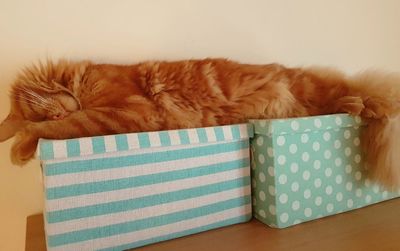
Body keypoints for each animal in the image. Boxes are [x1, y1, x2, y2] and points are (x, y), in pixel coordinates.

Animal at [0, 58, 400, 187]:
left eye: (40, 111)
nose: (57, 111)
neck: (82, 79)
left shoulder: (124, 110)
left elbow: (58, 128)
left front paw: (20, 146)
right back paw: (357, 105)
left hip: (311, 88)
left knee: (366, 96)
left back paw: (363, 105)